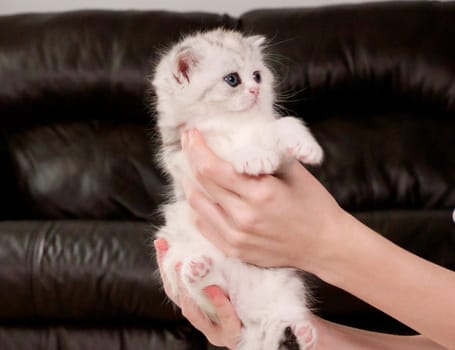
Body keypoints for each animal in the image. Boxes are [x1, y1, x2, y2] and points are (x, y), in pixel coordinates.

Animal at [151, 28, 322, 350]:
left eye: (257, 75)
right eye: (232, 79)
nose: (255, 90)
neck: (233, 124)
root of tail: (250, 314)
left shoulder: (280, 165)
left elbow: (284, 126)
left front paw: (305, 146)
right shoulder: (187, 161)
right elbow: (226, 151)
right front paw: (252, 156)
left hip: (286, 282)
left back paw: (304, 334)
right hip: (176, 257)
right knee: (210, 288)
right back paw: (198, 270)